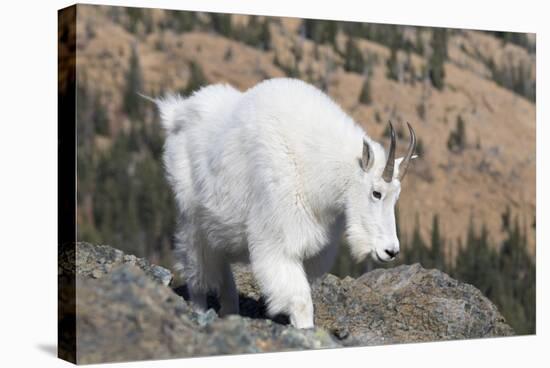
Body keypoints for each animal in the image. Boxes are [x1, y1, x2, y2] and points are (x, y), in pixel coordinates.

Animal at [153, 77, 416, 328]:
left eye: (397, 195)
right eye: (376, 193)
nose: (391, 251)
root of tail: (176, 112)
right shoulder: (279, 242)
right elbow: (300, 302)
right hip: (192, 219)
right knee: (196, 267)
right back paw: (198, 311)